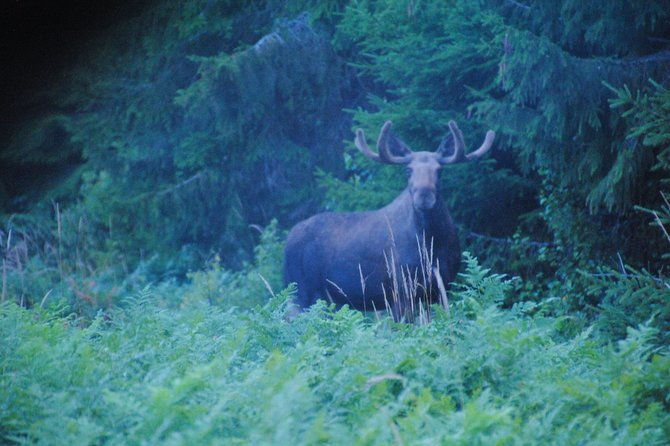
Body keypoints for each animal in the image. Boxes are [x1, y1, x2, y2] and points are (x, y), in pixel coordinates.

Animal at [283, 120, 495, 321]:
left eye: (439, 170)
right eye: (408, 170)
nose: (424, 195)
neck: (432, 242)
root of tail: (288, 239)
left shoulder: (441, 287)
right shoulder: (400, 291)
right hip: (300, 292)